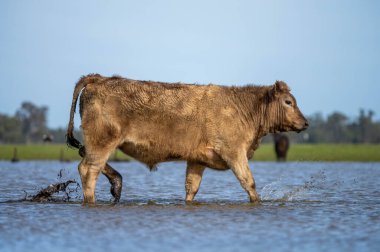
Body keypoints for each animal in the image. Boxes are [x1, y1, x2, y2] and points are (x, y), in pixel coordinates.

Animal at [67, 74, 308, 204]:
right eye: (288, 102)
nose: (305, 122)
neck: (245, 109)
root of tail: (99, 78)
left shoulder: (197, 159)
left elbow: (191, 188)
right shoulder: (234, 152)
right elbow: (249, 182)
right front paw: (258, 203)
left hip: (97, 143)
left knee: (85, 160)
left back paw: (116, 183)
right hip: (102, 141)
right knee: (89, 169)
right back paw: (93, 200)